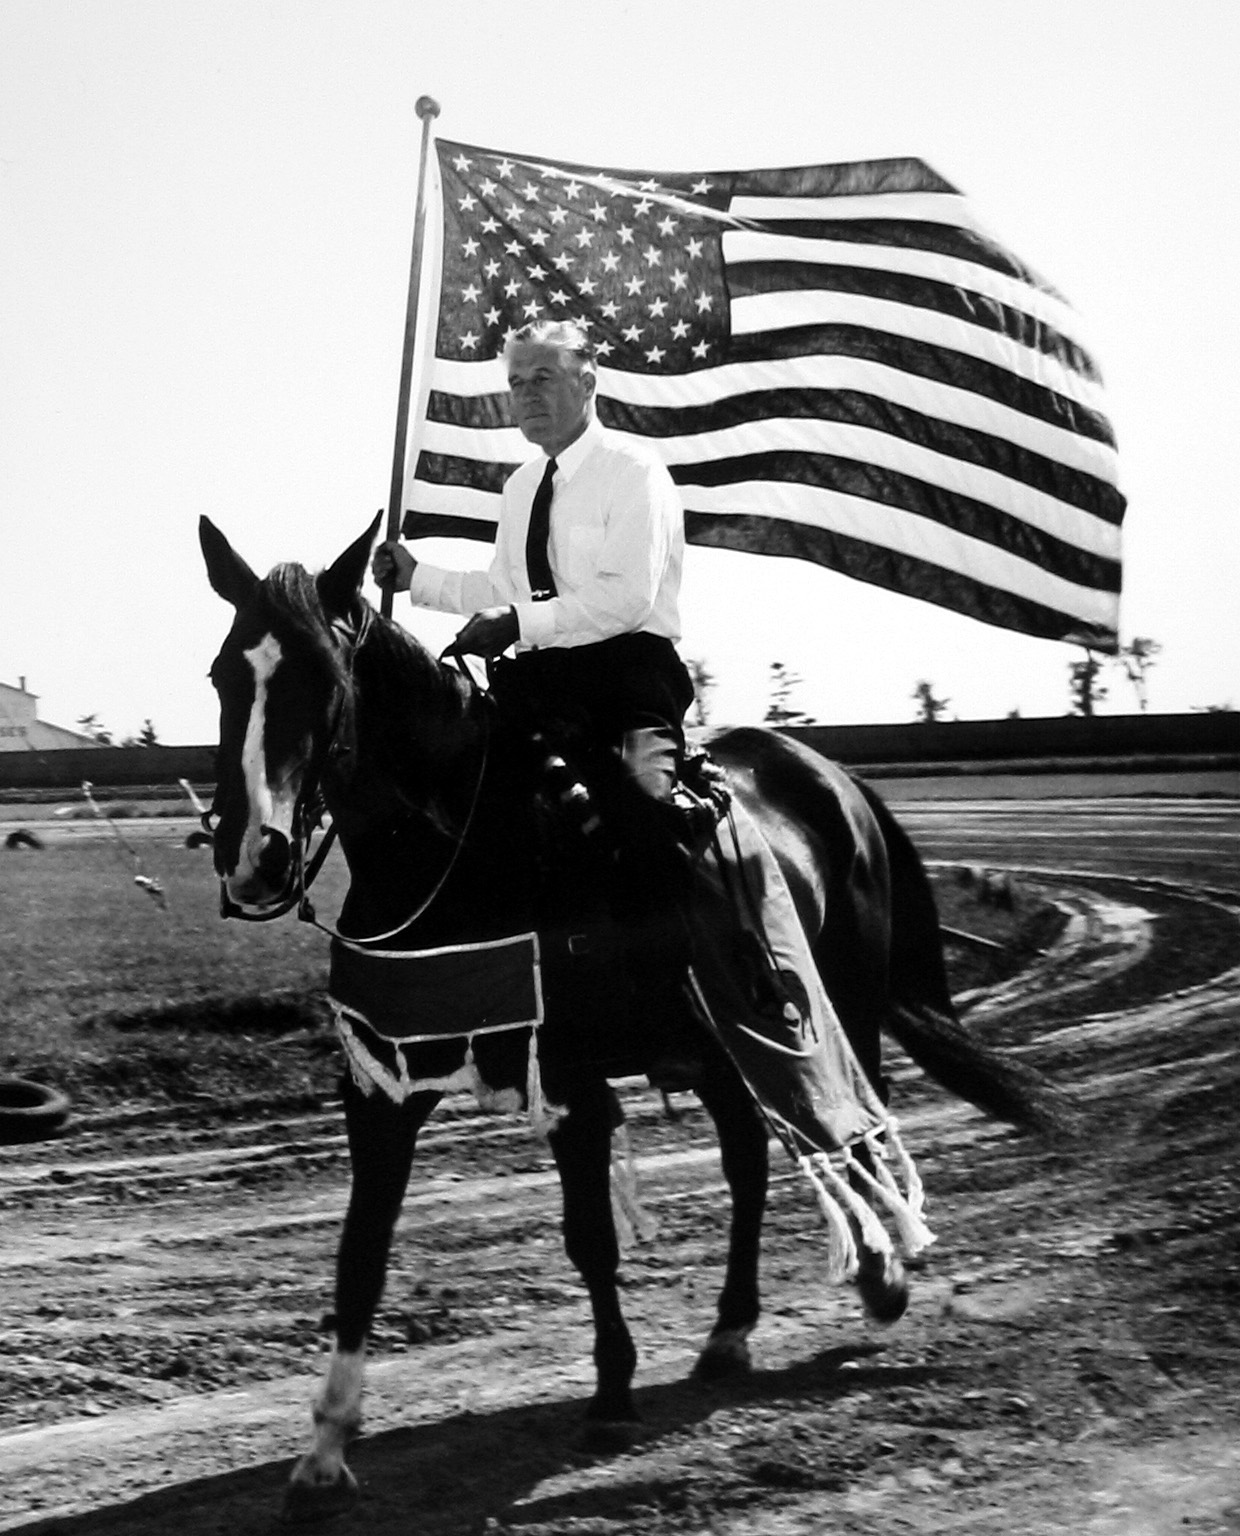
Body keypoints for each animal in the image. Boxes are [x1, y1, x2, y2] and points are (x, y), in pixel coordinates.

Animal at [198, 519, 1063, 1523]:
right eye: (224, 673)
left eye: (324, 679)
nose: (256, 856)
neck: (465, 849)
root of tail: (833, 777)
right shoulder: (381, 1088)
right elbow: (359, 1254)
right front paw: (326, 1448)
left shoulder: (571, 1080)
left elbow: (589, 1239)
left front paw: (611, 1393)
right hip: (723, 1046)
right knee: (748, 1164)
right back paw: (731, 1331)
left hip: (832, 1009)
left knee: (851, 1128)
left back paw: (882, 1271)